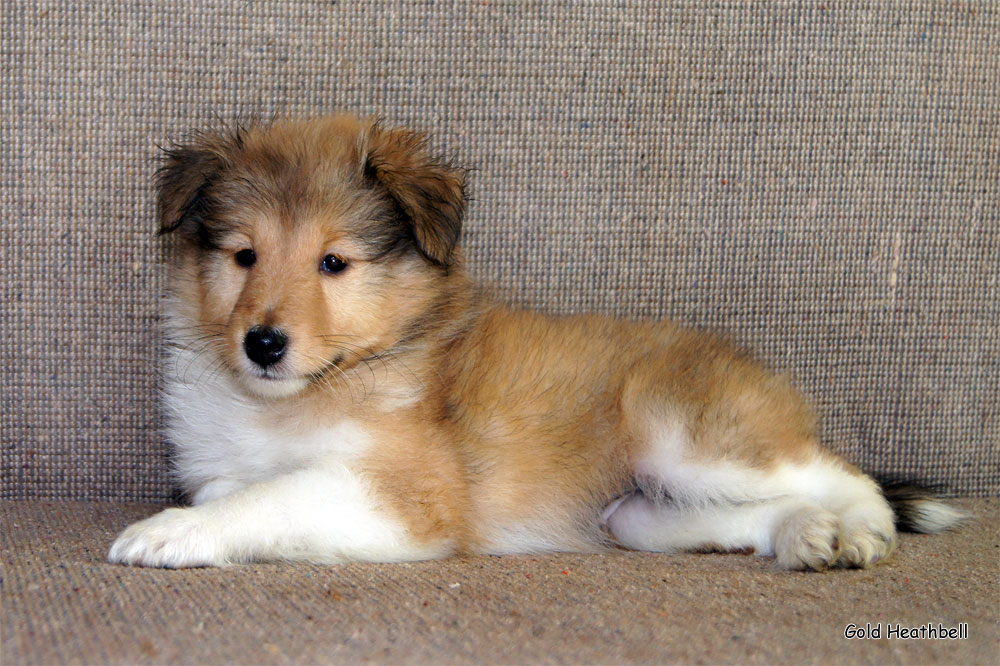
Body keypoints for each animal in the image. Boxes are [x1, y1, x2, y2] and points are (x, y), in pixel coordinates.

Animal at [107, 115, 960, 572]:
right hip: (641, 512)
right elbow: (242, 490)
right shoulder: (233, 467)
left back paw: (857, 529)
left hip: (687, 436)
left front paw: (168, 533)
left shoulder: (408, 495)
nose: (263, 344)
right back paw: (804, 533)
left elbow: (271, 495)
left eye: (334, 263)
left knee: (839, 471)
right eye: (243, 255)